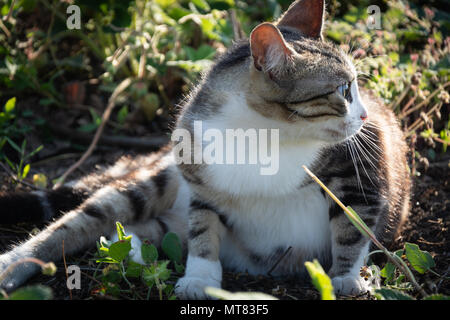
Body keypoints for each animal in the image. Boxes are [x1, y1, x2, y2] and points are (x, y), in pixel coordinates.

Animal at [0, 0, 410, 300]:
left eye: (357, 87)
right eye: (343, 90)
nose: (364, 114)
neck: (264, 133)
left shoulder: (361, 167)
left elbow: (352, 226)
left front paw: (346, 279)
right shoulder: (198, 171)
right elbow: (203, 227)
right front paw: (200, 278)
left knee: (141, 228)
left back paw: (129, 246)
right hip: (155, 179)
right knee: (80, 223)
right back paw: (13, 264)